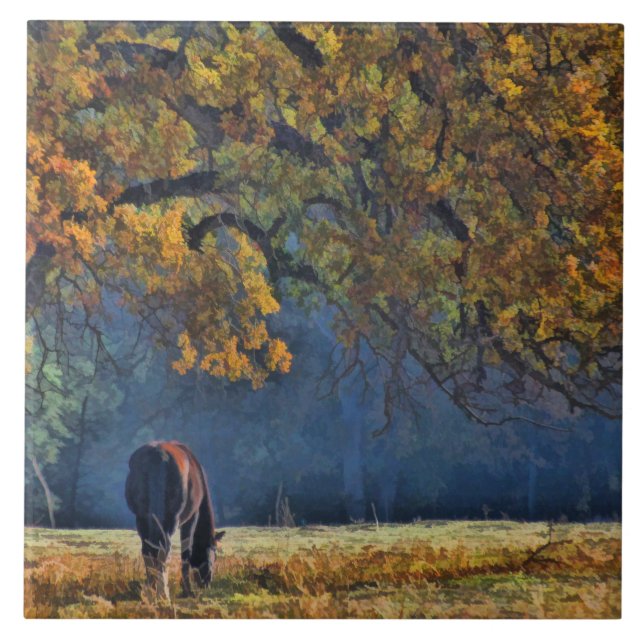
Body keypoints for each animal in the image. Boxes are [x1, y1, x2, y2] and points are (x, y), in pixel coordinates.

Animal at [125, 440, 225, 600]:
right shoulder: (192, 517)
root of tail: (158, 457)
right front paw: (187, 590)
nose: (207, 582)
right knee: (164, 549)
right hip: (171, 518)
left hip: (141, 518)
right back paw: (163, 594)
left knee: (147, 549)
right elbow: (186, 552)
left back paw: (151, 590)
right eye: (214, 551)